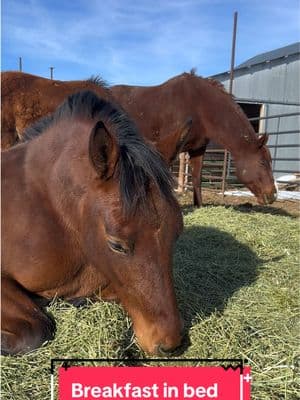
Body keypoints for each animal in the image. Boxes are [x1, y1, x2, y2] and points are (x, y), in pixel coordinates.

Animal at [111, 72, 278, 208]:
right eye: (262, 163)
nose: (273, 195)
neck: (199, 106)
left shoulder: (198, 149)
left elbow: (197, 178)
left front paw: (199, 205)